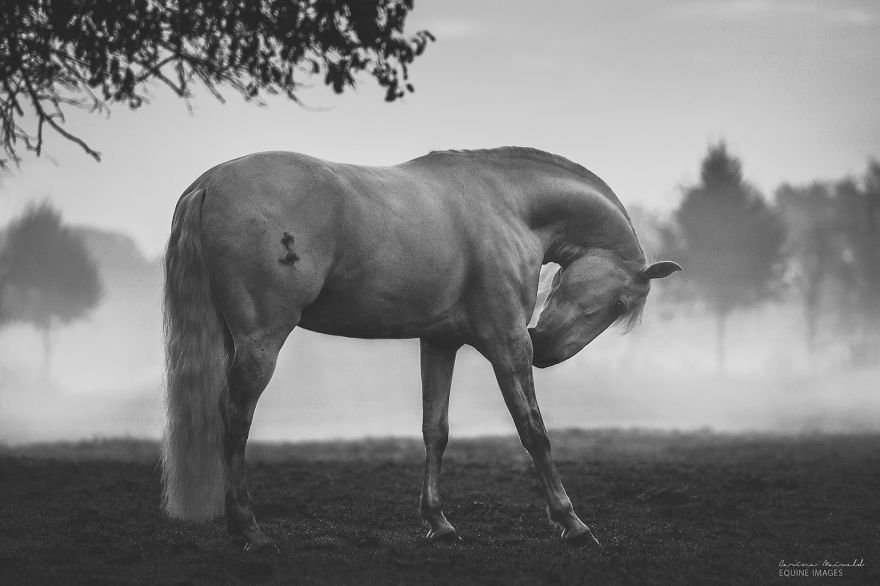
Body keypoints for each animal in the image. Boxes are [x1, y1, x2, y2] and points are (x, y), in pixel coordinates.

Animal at [161, 147, 681, 551]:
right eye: (620, 303)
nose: (545, 349)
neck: (508, 206)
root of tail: (211, 183)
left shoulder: (439, 343)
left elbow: (436, 430)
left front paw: (439, 522)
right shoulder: (506, 341)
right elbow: (533, 431)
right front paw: (571, 522)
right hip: (261, 341)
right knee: (235, 420)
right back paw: (249, 530)